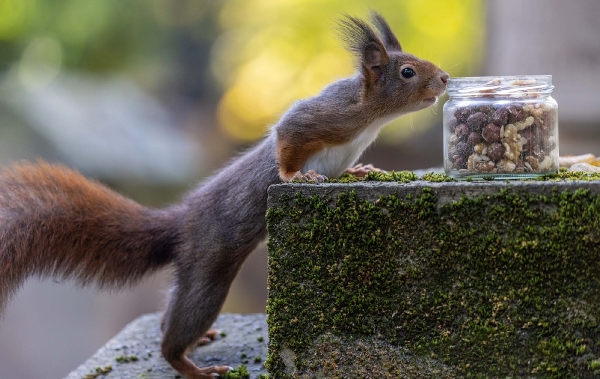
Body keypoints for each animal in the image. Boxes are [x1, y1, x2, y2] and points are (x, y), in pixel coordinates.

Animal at [0, 13, 446, 379]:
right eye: (407, 72)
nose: (444, 79)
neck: (370, 117)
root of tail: (182, 222)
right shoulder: (325, 116)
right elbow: (287, 136)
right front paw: (295, 174)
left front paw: (360, 170)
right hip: (209, 268)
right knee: (175, 332)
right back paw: (193, 366)